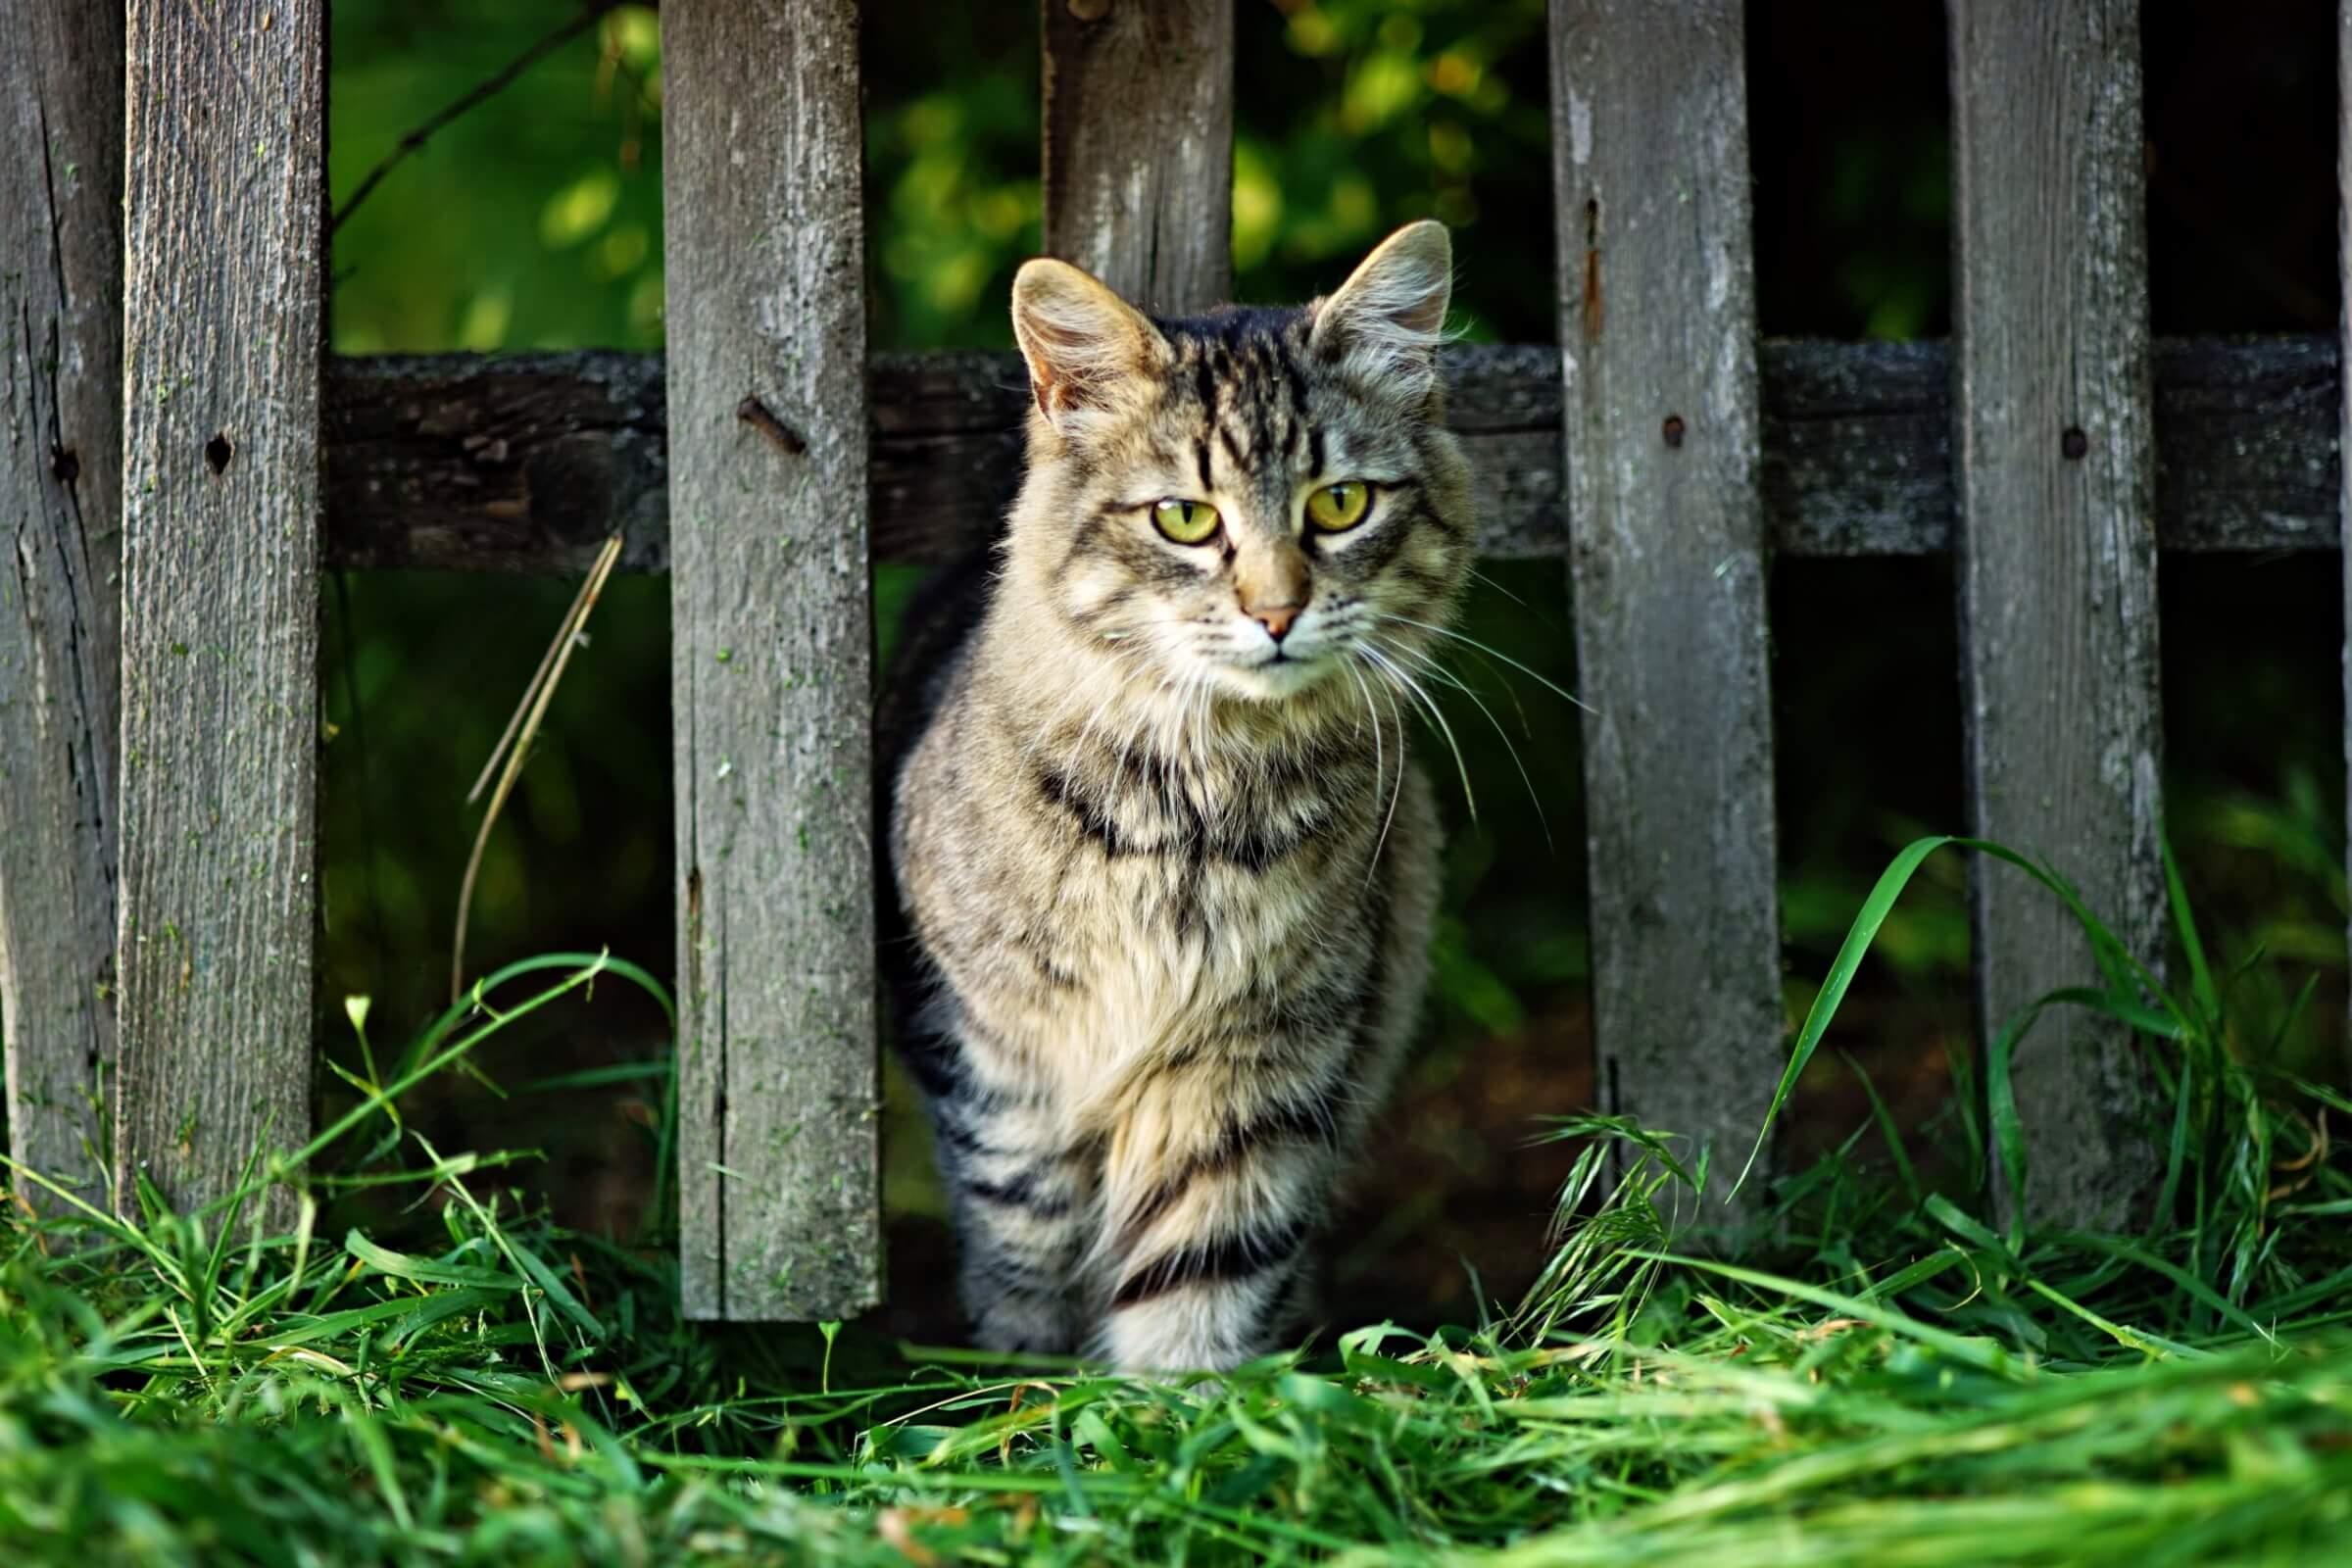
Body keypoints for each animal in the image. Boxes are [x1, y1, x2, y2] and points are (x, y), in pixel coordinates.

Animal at [884, 220, 1467, 1372]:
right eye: (1187, 519)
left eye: (1339, 504)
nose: (1277, 611)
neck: (1197, 810)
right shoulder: (1002, 1076)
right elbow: (1028, 1266)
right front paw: (1033, 1392)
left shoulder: (1257, 1064)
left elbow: (1202, 1271)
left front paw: (1184, 1403)